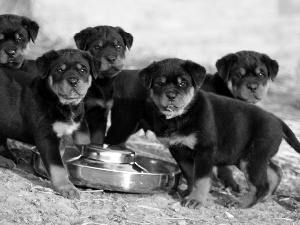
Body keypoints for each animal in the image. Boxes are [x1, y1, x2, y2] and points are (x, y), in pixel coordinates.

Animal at [0, 48, 99, 198]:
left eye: (83, 70)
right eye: (59, 70)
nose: (73, 81)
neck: (63, 105)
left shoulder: (61, 138)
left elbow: (59, 160)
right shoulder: (47, 137)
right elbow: (57, 166)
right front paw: (67, 188)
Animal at [138, 58, 300, 209]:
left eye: (183, 83)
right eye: (159, 83)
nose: (171, 95)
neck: (181, 116)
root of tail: (278, 120)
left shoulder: (204, 151)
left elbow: (201, 179)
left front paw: (195, 200)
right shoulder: (178, 151)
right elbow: (190, 175)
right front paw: (189, 193)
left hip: (251, 158)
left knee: (260, 185)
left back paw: (242, 202)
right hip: (248, 156)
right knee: (275, 170)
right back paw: (264, 197)